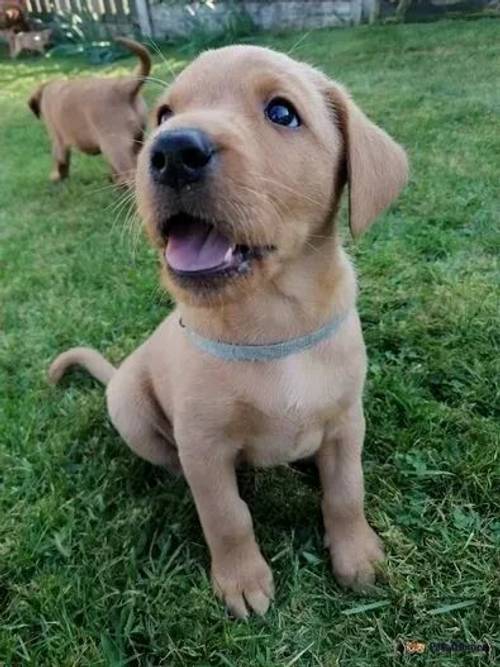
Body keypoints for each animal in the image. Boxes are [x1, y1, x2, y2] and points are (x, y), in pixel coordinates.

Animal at [48, 45, 408, 620]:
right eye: (164, 115)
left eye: (282, 112)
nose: (171, 152)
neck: (275, 324)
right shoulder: (205, 444)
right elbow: (226, 515)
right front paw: (242, 580)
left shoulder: (347, 421)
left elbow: (346, 491)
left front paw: (358, 556)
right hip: (129, 408)